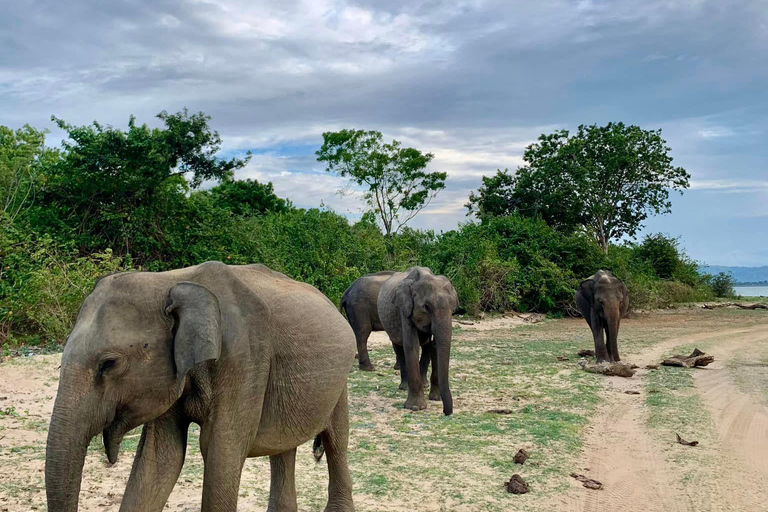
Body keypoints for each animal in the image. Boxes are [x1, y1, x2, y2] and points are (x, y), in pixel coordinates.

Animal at [47, 262, 356, 512]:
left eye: (109, 363)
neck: (172, 281)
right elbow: (160, 458)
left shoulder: (245, 358)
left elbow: (220, 452)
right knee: (284, 446)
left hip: (341, 382)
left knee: (336, 440)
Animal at [376, 268, 456, 416]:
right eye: (427, 307)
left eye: (453, 309)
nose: (446, 412)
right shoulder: (404, 309)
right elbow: (411, 345)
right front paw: (415, 407)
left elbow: (434, 347)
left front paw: (436, 399)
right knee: (399, 348)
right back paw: (404, 386)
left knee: (426, 347)